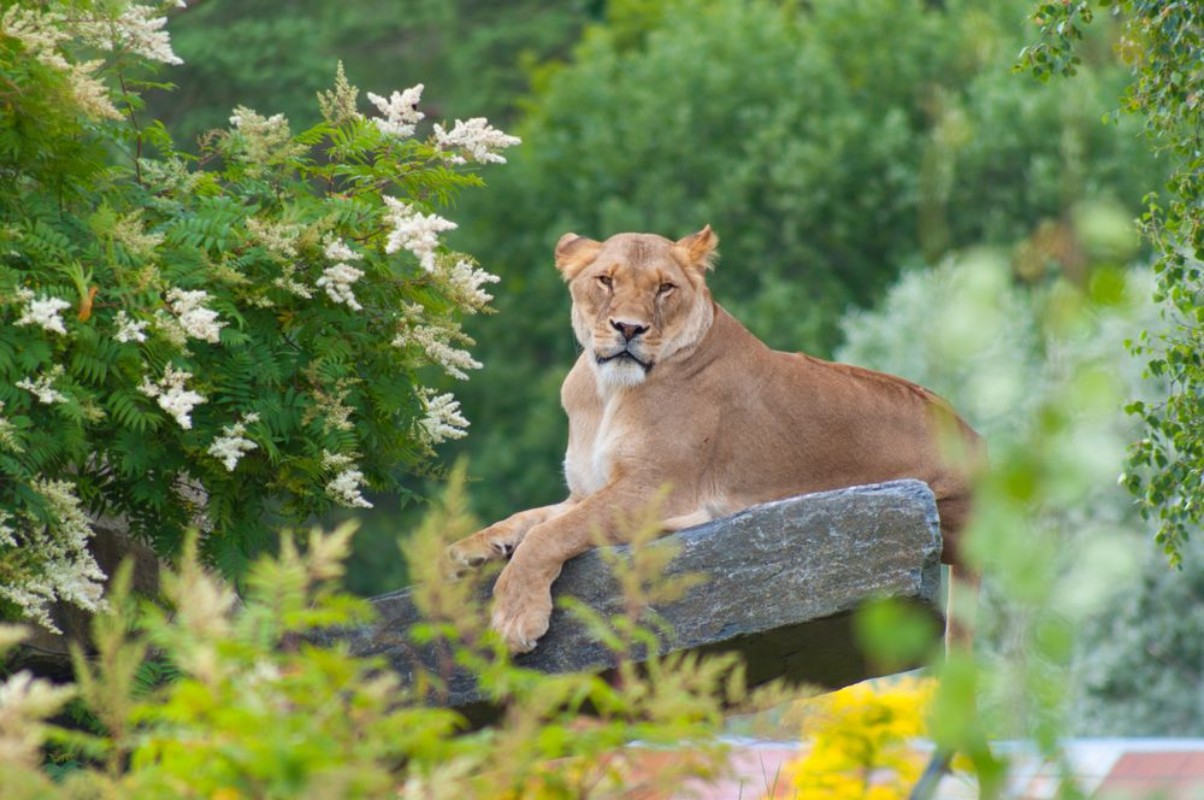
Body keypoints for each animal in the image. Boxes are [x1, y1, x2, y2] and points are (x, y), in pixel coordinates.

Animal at [447, 226, 984, 654]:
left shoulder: (651, 488)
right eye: (606, 280)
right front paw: (467, 551)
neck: (607, 392)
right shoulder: (587, 489)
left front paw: (515, 617)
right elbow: (530, 518)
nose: (628, 328)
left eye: (665, 288)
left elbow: (551, 535)